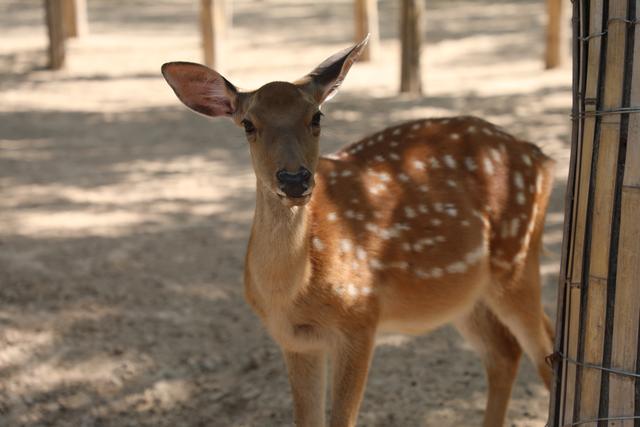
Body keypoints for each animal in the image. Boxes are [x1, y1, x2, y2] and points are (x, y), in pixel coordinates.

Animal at [162, 37, 556, 427]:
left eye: (316, 117)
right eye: (247, 124)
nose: (294, 178)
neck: (292, 291)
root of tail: (542, 157)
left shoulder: (360, 317)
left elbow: (342, 419)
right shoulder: (294, 338)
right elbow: (307, 419)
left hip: (516, 259)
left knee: (545, 349)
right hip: (466, 293)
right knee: (505, 352)